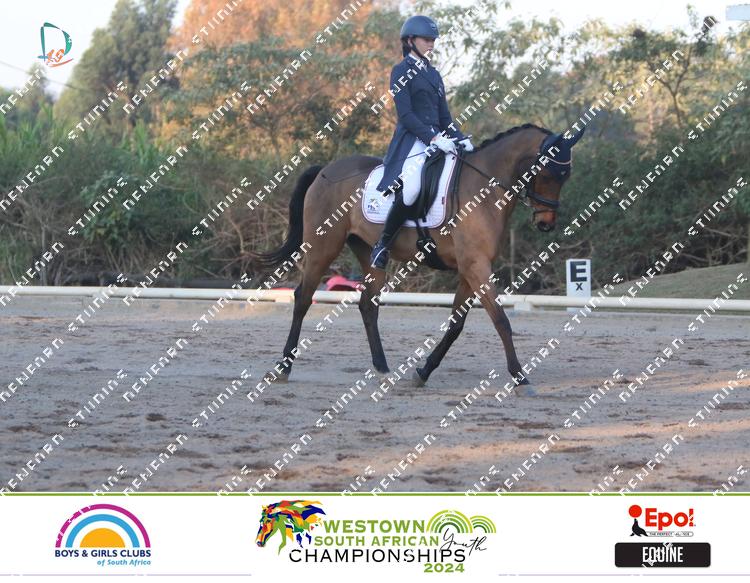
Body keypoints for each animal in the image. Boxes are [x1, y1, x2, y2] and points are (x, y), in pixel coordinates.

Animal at [251, 123, 585, 395]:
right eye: (548, 173)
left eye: (566, 175)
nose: (546, 223)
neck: (483, 188)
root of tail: (325, 170)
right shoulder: (477, 266)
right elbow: (501, 320)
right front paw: (520, 378)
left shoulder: (469, 268)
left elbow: (456, 325)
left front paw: (423, 372)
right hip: (322, 247)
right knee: (303, 298)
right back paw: (283, 367)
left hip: (369, 253)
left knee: (367, 305)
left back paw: (383, 370)